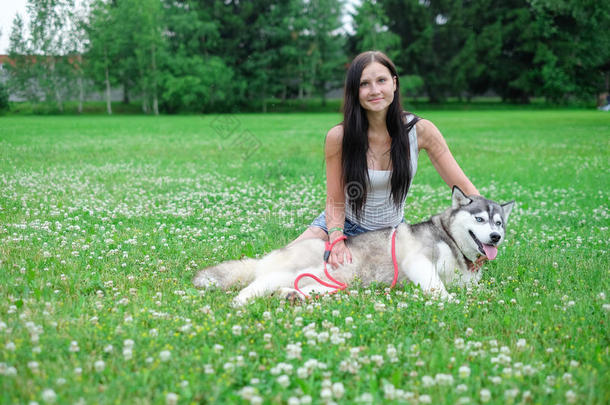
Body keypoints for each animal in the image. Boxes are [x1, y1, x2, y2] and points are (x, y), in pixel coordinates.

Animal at [192, 188, 510, 304]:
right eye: (480, 219)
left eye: (499, 223)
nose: (495, 237)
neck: (451, 239)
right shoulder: (418, 260)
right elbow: (437, 287)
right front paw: (452, 302)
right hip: (302, 266)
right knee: (261, 281)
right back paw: (241, 301)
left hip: (330, 282)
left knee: (297, 288)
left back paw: (291, 296)